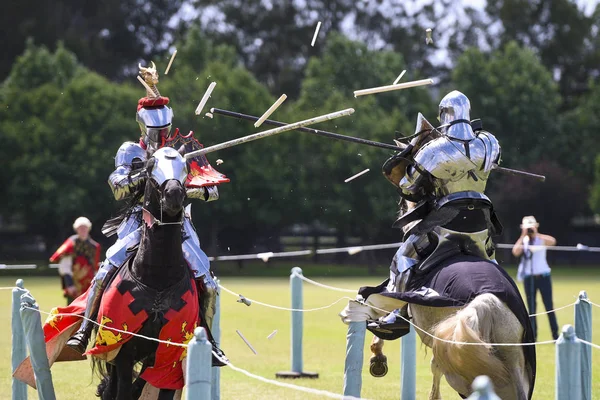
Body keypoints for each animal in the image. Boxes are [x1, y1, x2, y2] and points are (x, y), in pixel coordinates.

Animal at [94, 147, 197, 400]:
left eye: (185, 167)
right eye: (150, 167)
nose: (173, 194)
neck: (158, 277)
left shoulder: (165, 356)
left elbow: (145, 387)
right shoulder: (122, 351)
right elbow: (122, 390)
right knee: (112, 388)